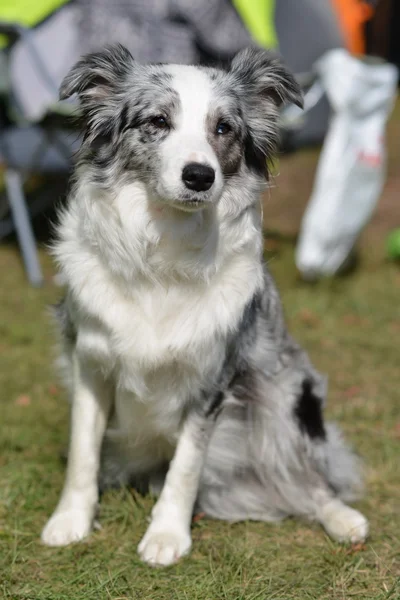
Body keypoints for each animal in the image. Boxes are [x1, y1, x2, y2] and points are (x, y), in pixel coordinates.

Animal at [41, 44, 368, 564]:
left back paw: (342, 518)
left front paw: (167, 536)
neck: (163, 249)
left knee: (309, 479)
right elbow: (82, 453)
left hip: (284, 396)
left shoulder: (213, 375)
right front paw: (70, 521)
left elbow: (187, 465)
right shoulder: (90, 361)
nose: (199, 176)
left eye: (224, 128)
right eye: (157, 121)